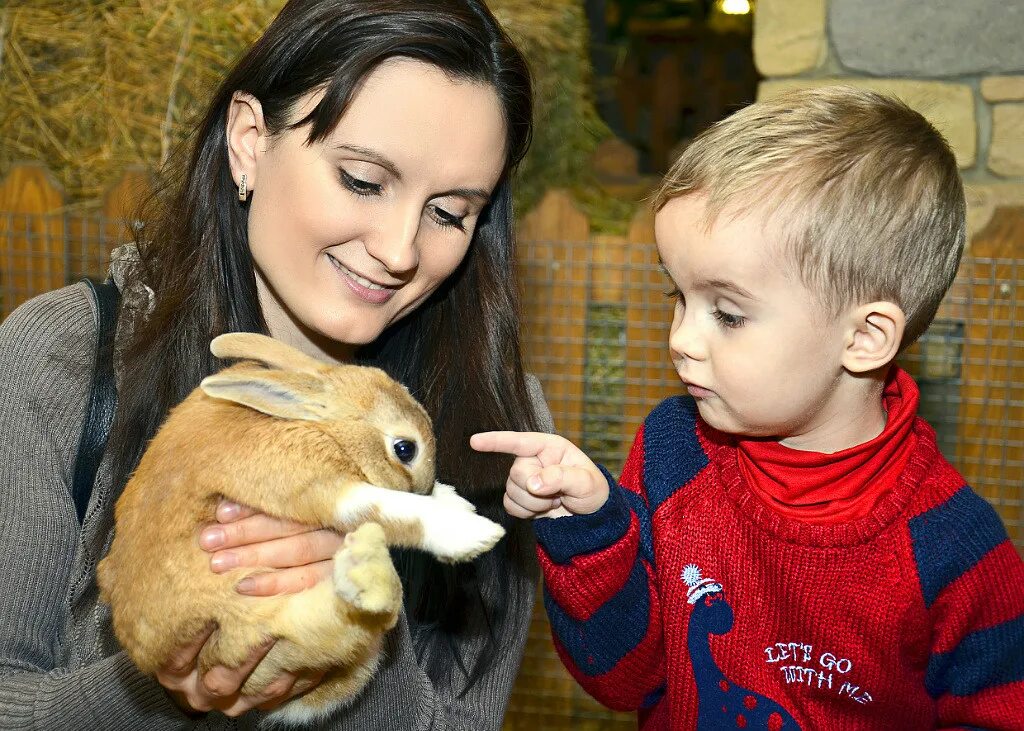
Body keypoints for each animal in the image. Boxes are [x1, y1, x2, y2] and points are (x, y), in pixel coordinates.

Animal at [97, 331, 505, 724]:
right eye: (405, 449)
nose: (423, 486)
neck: (320, 426)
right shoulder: (315, 484)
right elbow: (385, 507)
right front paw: (473, 532)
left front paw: (455, 501)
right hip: (249, 623)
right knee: (360, 617)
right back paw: (364, 569)